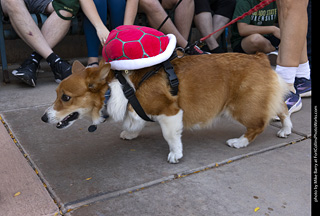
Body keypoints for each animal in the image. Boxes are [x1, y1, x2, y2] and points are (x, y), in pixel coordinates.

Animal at [41, 53, 292, 163]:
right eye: (56, 95)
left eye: (66, 97)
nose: (43, 118)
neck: (120, 89)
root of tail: (260, 57)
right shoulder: (137, 110)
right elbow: (135, 122)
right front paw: (130, 134)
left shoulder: (169, 112)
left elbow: (170, 136)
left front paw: (175, 154)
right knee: (282, 108)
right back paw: (286, 129)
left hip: (241, 107)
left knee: (258, 125)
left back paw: (239, 142)